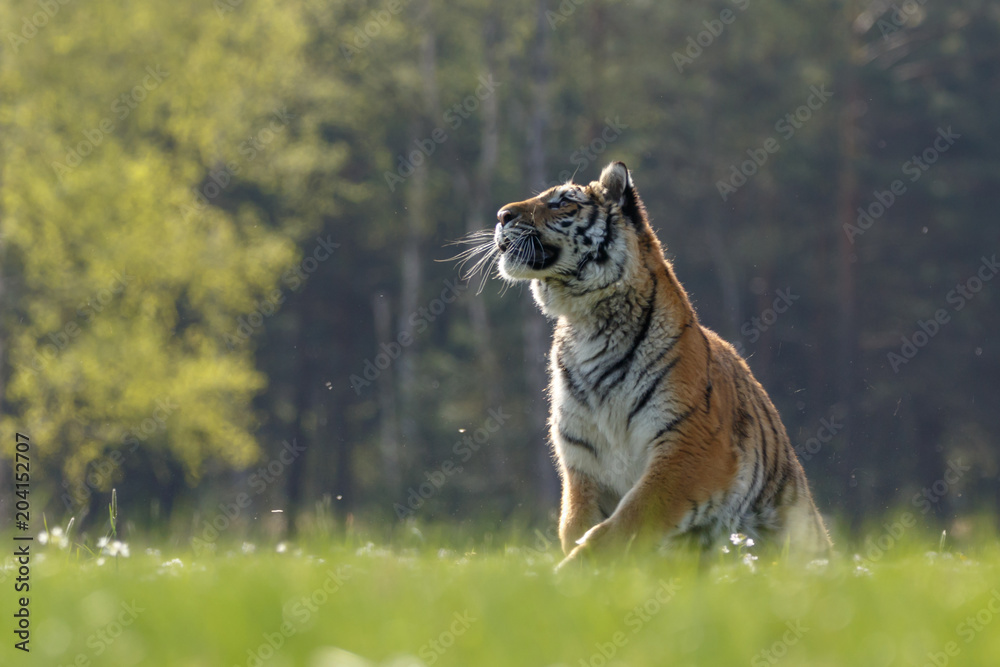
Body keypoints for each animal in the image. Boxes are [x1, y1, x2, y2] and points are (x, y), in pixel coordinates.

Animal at [477, 161, 830, 569]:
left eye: (563, 202)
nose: (501, 215)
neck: (586, 323)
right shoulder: (584, 464)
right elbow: (577, 524)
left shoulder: (690, 447)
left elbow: (626, 521)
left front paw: (567, 573)